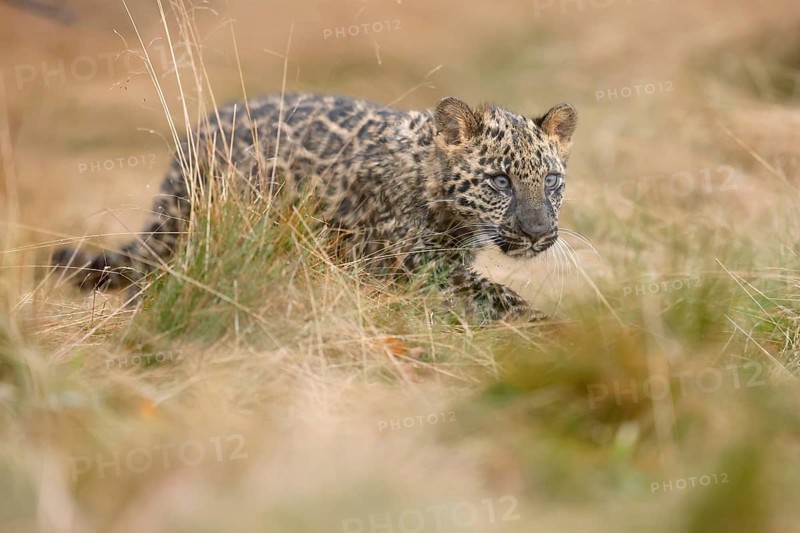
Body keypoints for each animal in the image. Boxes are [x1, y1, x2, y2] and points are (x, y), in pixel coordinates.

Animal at [52, 93, 578, 321]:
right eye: (500, 181)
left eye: (551, 180)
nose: (538, 233)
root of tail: (190, 141)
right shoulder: (405, 264)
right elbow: (494, 295)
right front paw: (543, 327)